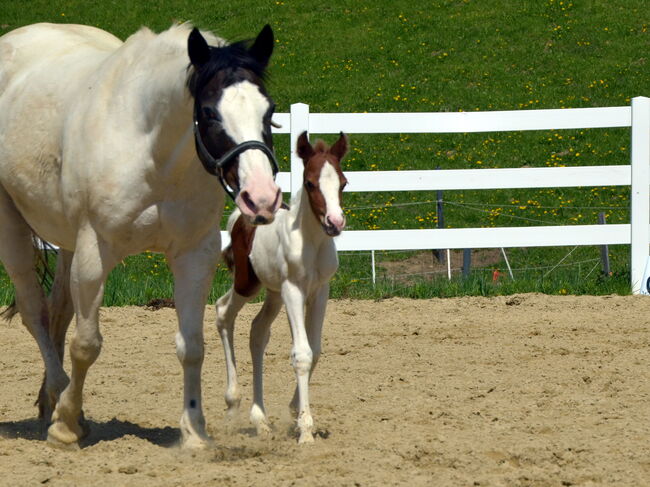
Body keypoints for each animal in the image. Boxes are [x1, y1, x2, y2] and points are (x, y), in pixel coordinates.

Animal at [1, 22, 282, 450]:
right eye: (208, 112)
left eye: (269, 111)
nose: (261, 197)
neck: (152, 153)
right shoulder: (94, 253)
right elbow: (86, 344)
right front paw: (66, 428)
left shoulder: (194, 255)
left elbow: (192, 346)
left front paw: (194, 432)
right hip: (13, 228)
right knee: (36, 313)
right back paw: (63, 405)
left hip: (66, 243)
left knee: (59, 313)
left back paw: (51, 400)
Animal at [215, 132, 346, 444]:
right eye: (310, 183)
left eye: (343, 182)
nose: (335, 223)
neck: (312, 242)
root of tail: (238, 218)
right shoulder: (293, 291)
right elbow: (302, 354)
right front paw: (305, 430)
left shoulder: (320, 291)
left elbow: (315, 350)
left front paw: (295, 410)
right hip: (248, 284)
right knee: (223, 312)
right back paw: (232, 404)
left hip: (273, 293)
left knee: (258, 332)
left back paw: (260, 420)